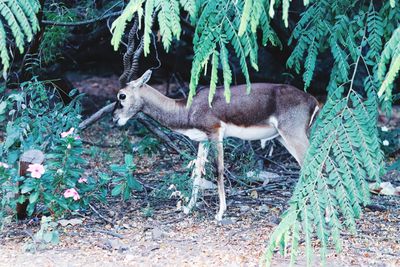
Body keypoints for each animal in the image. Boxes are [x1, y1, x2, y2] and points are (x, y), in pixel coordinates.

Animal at [111, 69, 318, 222]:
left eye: (122, 96)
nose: (114, 119)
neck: (187, 108)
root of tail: (313, 101)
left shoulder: (216, 134)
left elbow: (219, 170)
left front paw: (220, 213)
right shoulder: (203, 140)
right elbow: (198, 171)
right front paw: (187, 208)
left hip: (294, 136)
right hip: (284, 138)